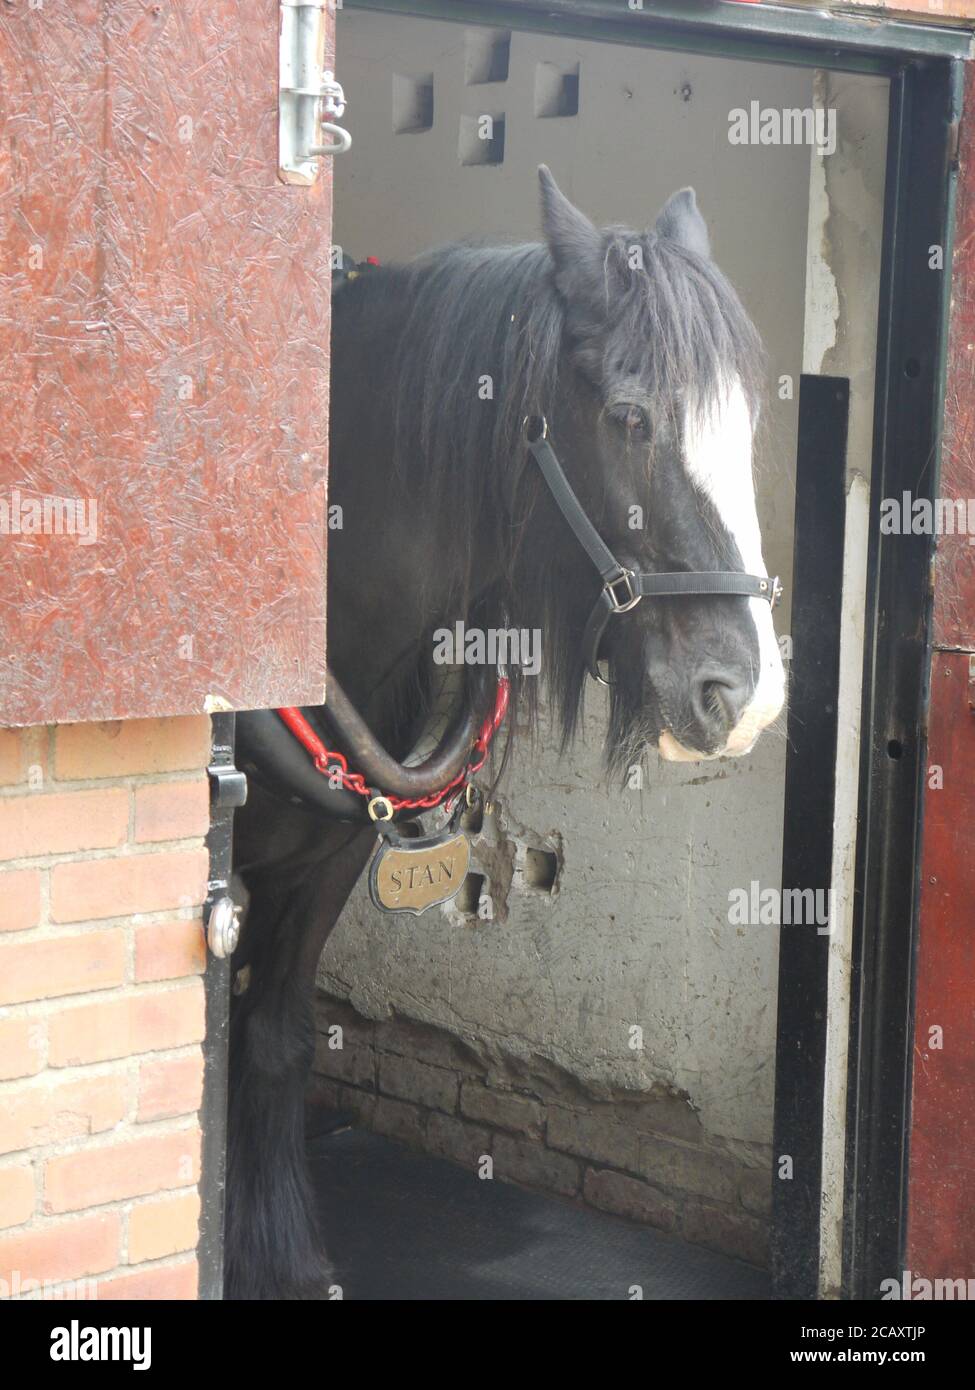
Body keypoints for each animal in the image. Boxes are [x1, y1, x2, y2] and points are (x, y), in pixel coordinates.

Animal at [226, 168, 784, 1295]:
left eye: (747, 421)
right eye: (628, 417)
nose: (746, 696)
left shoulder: (329, 855)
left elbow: (272, 1038)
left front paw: (286, 1261)